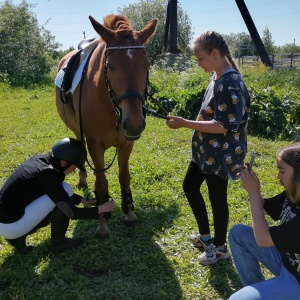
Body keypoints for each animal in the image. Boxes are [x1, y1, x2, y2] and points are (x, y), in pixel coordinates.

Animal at [56, 14, 159, 239]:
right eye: (110, 66)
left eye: (147, 65)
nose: (134, 122)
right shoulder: (95, 145)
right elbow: (101, 182)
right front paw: (102, 223)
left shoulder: (126, 143)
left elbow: (124, 176)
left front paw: (129, 213)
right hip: (78, 131)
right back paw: (83, 180)